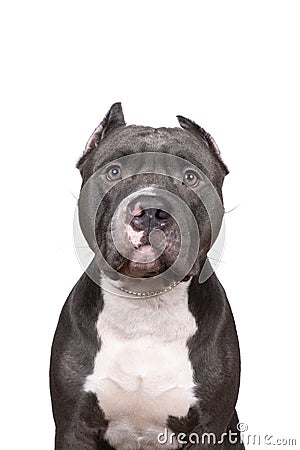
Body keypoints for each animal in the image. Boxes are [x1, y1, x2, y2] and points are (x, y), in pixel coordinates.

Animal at [49, 103, 246, 448]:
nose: (153, 211)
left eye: (190, 177)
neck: (145, 303)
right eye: (114, 172)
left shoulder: (208, 428)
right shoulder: (74, 427)